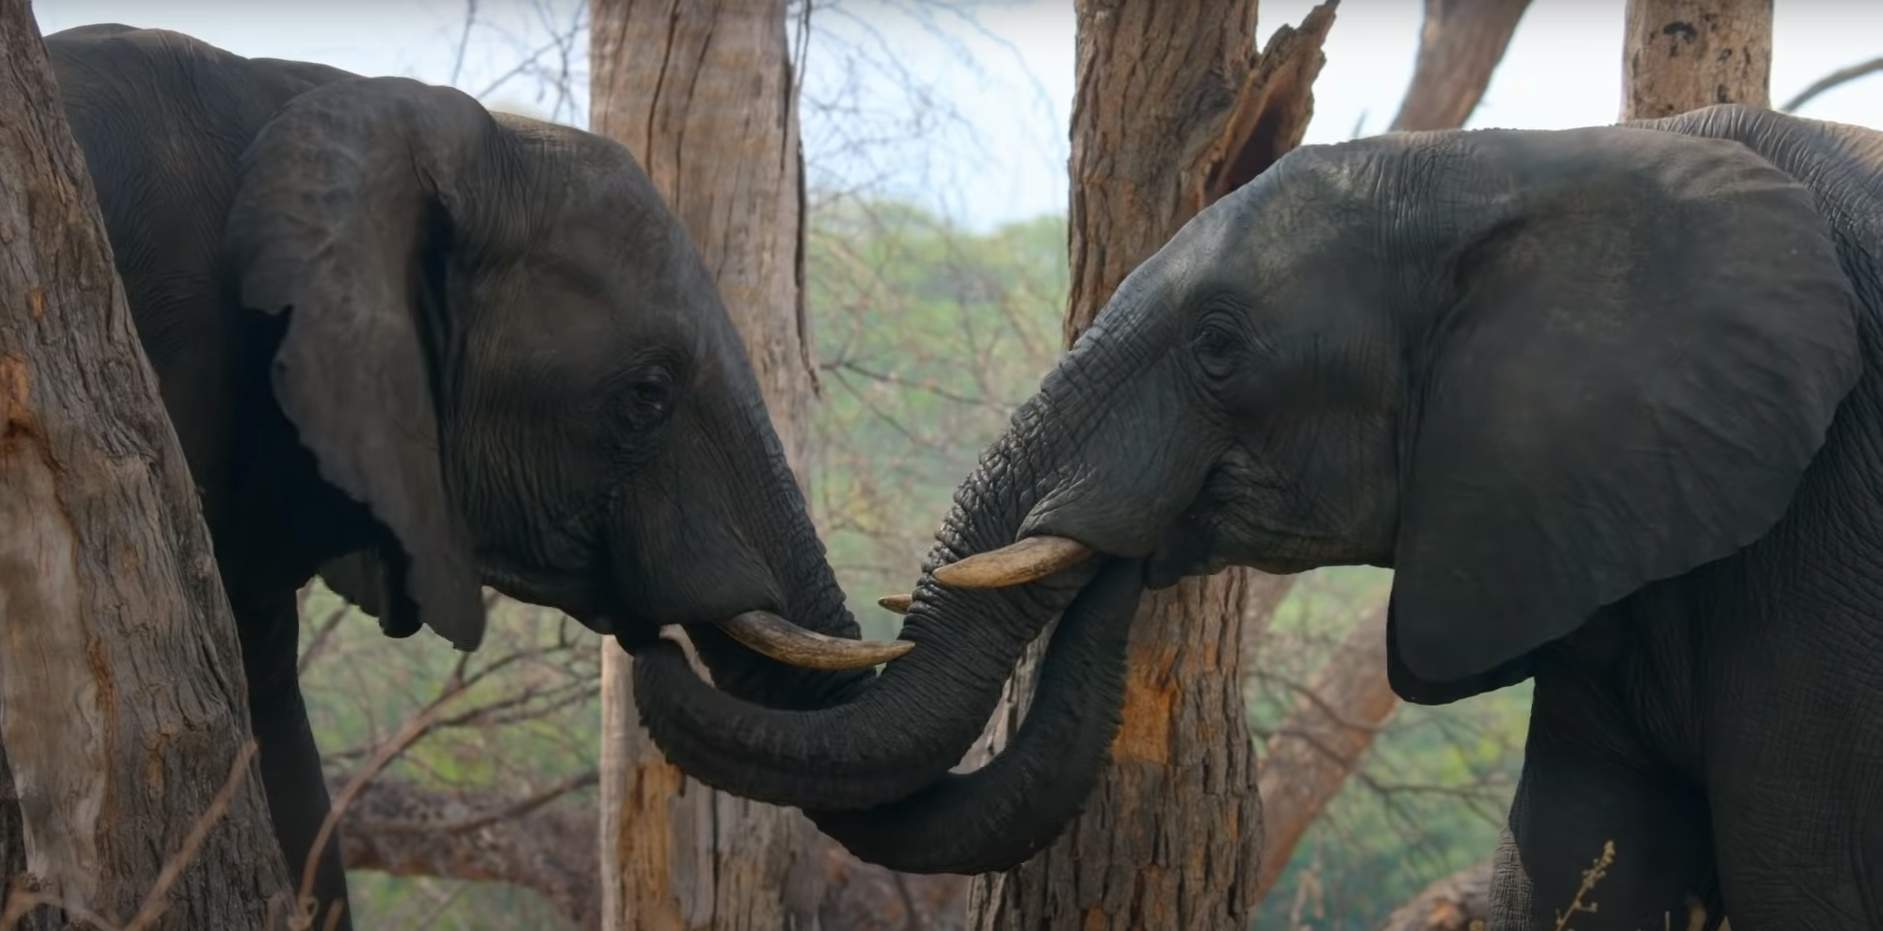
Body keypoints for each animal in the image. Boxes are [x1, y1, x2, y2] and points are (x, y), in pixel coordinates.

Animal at [636, 103, 1883, 923]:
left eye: (1219, 347)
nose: (1121, 556)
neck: (1544, 158)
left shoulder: (1834, 535)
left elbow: (1808, 874)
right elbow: (1579, 856)